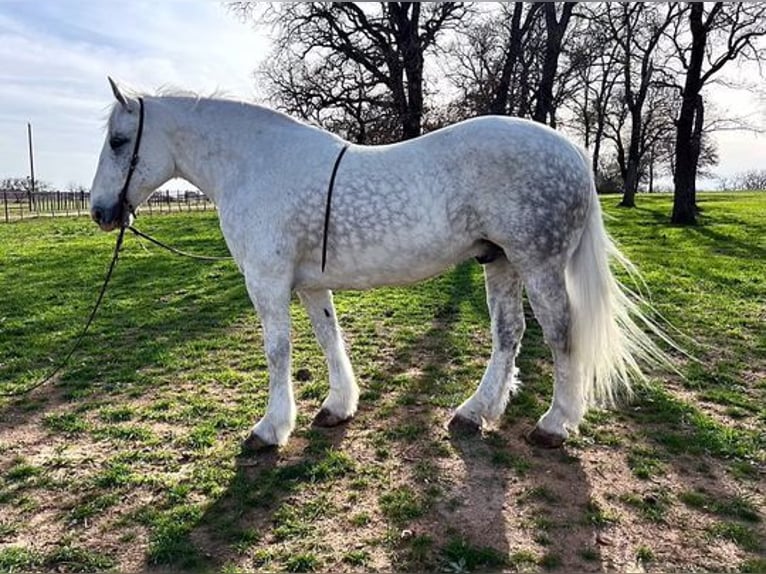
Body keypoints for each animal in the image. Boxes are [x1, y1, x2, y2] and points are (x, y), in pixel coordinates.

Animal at [90, 79, 668, 452]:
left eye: (119, 141)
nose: (99, 211)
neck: (254, 165)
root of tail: (572, 151)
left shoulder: (267, 281)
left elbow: (278, 352)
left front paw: (270, 430)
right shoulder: (309, 285)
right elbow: (329, 339)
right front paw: (337, 406)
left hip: (538, 261)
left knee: (560, 335)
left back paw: (554, 424)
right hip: (500, 261)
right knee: (509, 334)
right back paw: (475, 413)